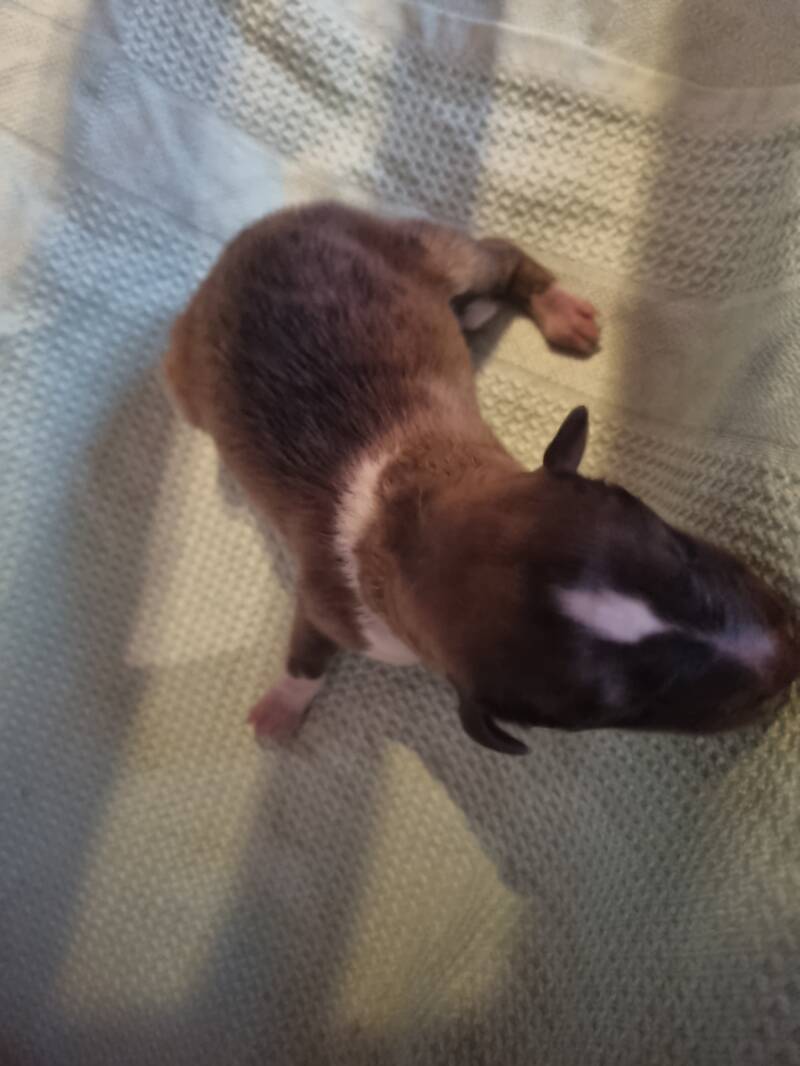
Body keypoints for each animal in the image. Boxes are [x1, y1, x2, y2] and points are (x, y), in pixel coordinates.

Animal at [164, 201, 799, 754]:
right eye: (622, 710)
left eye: (678, 550)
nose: (790, 653)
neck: (403, 521)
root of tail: (256, 232)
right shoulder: (330, 604)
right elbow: (306, 652)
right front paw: (284, 702)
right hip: (189, 384)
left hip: (432, 256)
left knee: (500, 254)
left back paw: (556, 307)